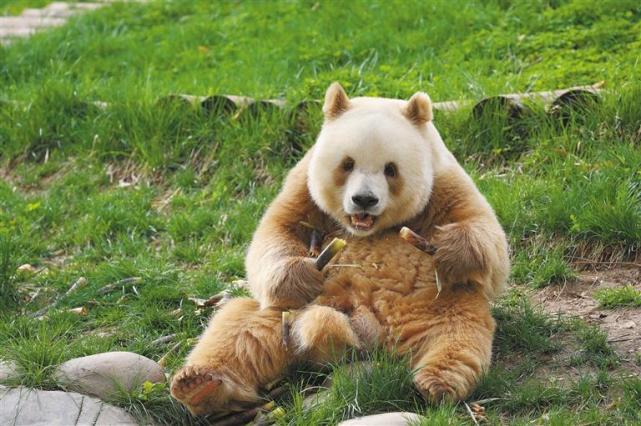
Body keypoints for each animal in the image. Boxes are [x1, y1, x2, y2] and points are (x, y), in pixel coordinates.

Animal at [169, 82, 510, 415]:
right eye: (347, 164)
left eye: (390, 169)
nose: (364, 200)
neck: (367, 228)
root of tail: (369, 334)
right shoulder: (303, 188)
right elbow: (275, 232)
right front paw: (302, 274)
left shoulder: (443, 182)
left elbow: (489, 240)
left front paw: (447, 249)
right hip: (292, 312)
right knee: (241, 330)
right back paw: (200, 384)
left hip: (434, 306)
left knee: (456, 335)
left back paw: (436, 383)